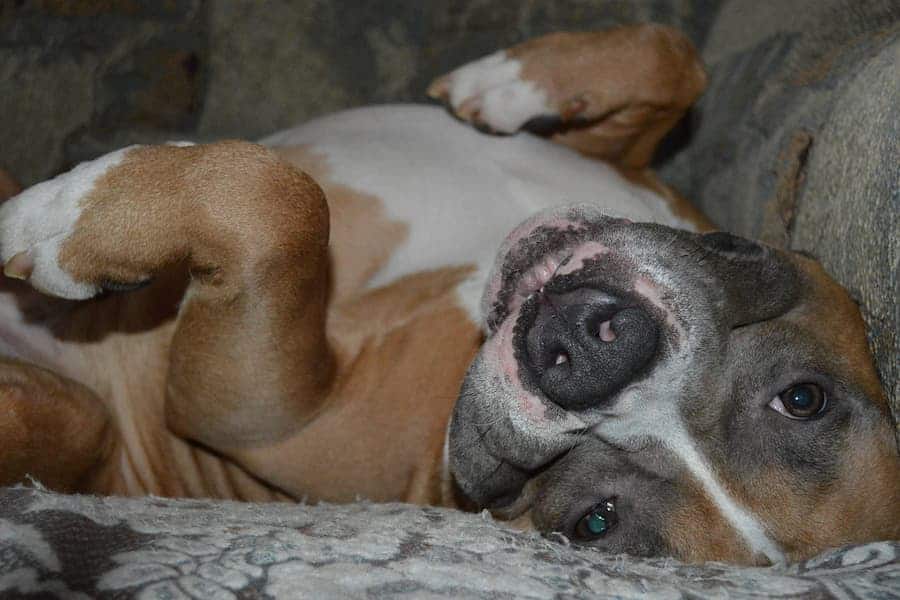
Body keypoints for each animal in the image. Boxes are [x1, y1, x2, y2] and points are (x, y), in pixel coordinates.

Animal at [1, 24, 900, 568]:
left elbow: (281, 203)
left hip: (78, 419)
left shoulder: (253, 410)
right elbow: (673, 56)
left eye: (594, 524)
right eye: (804, 398)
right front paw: (510, 85)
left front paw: (70, 224)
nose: (590, 353)